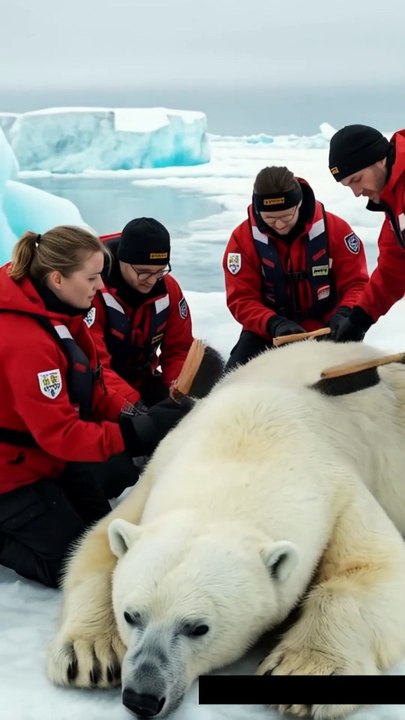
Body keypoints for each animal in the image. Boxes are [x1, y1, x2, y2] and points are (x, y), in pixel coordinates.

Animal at [47, 339, 405, 720]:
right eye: (130, 615)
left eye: (198, 627)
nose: (143, 697)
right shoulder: (154, 477)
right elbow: (96, 546)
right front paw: (90, 655)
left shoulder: (340, 488)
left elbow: (372, 565)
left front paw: (303, 668)